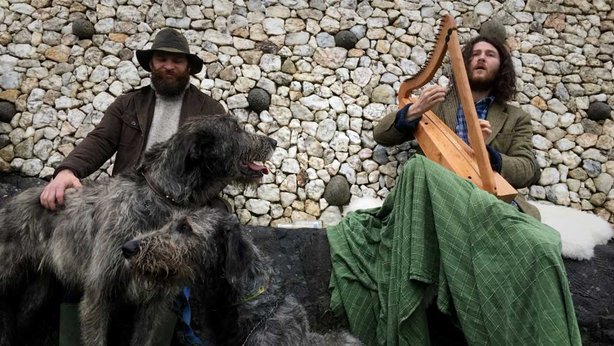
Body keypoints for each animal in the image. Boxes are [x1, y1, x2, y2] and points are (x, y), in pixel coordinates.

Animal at [0, 115, 276, 346]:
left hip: (37, 291)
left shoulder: (154, 303)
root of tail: (12, 201)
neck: (161, 199)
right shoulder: (98, 295)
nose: (273, 141)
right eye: (236, 129)